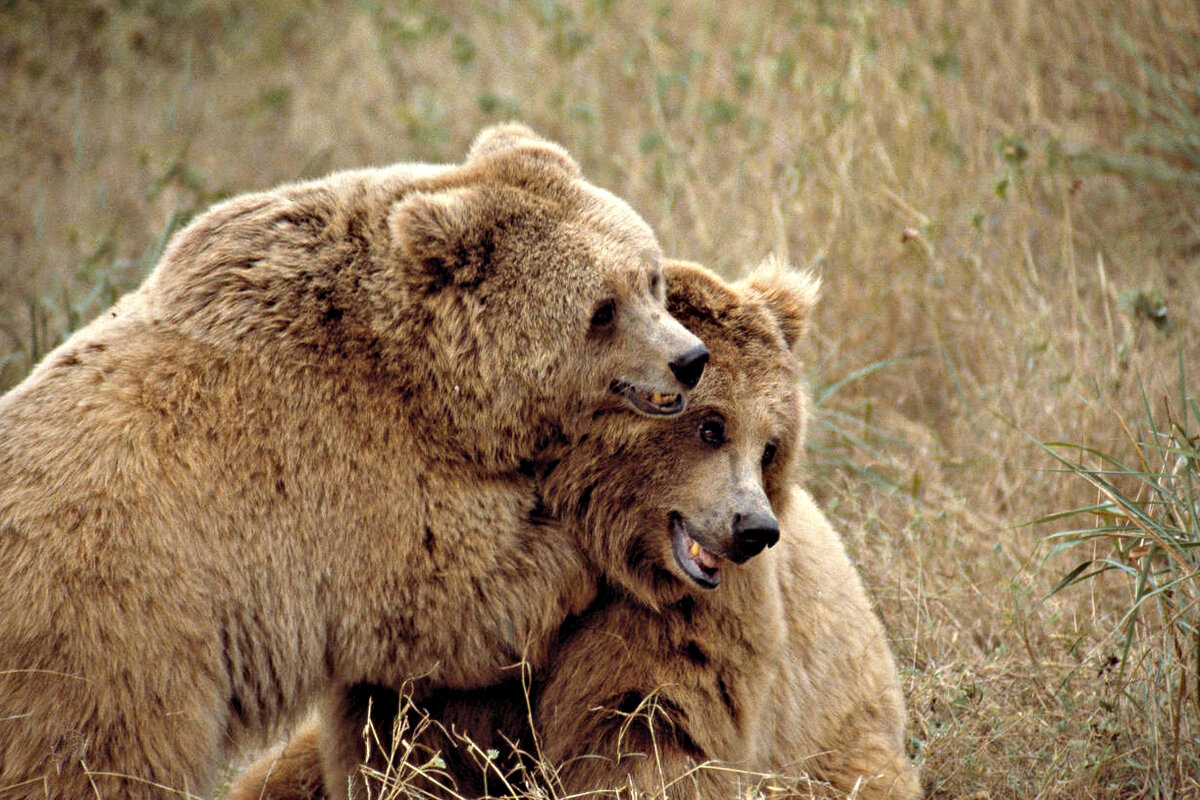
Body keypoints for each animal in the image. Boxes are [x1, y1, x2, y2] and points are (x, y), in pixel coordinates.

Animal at [0, 125, 710, 800]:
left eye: (649, 278)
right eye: (601, 311)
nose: (690, 359)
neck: (432, 380)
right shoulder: (345, 476)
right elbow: (468, 595)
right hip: (115, 635)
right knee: (100, 759)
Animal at [225, 260, 916, 800]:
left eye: (771, 445)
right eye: (712, 426)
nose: (754, 529)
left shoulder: (675, 628)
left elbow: (644, 741)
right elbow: (403, 742)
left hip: (840, 744)